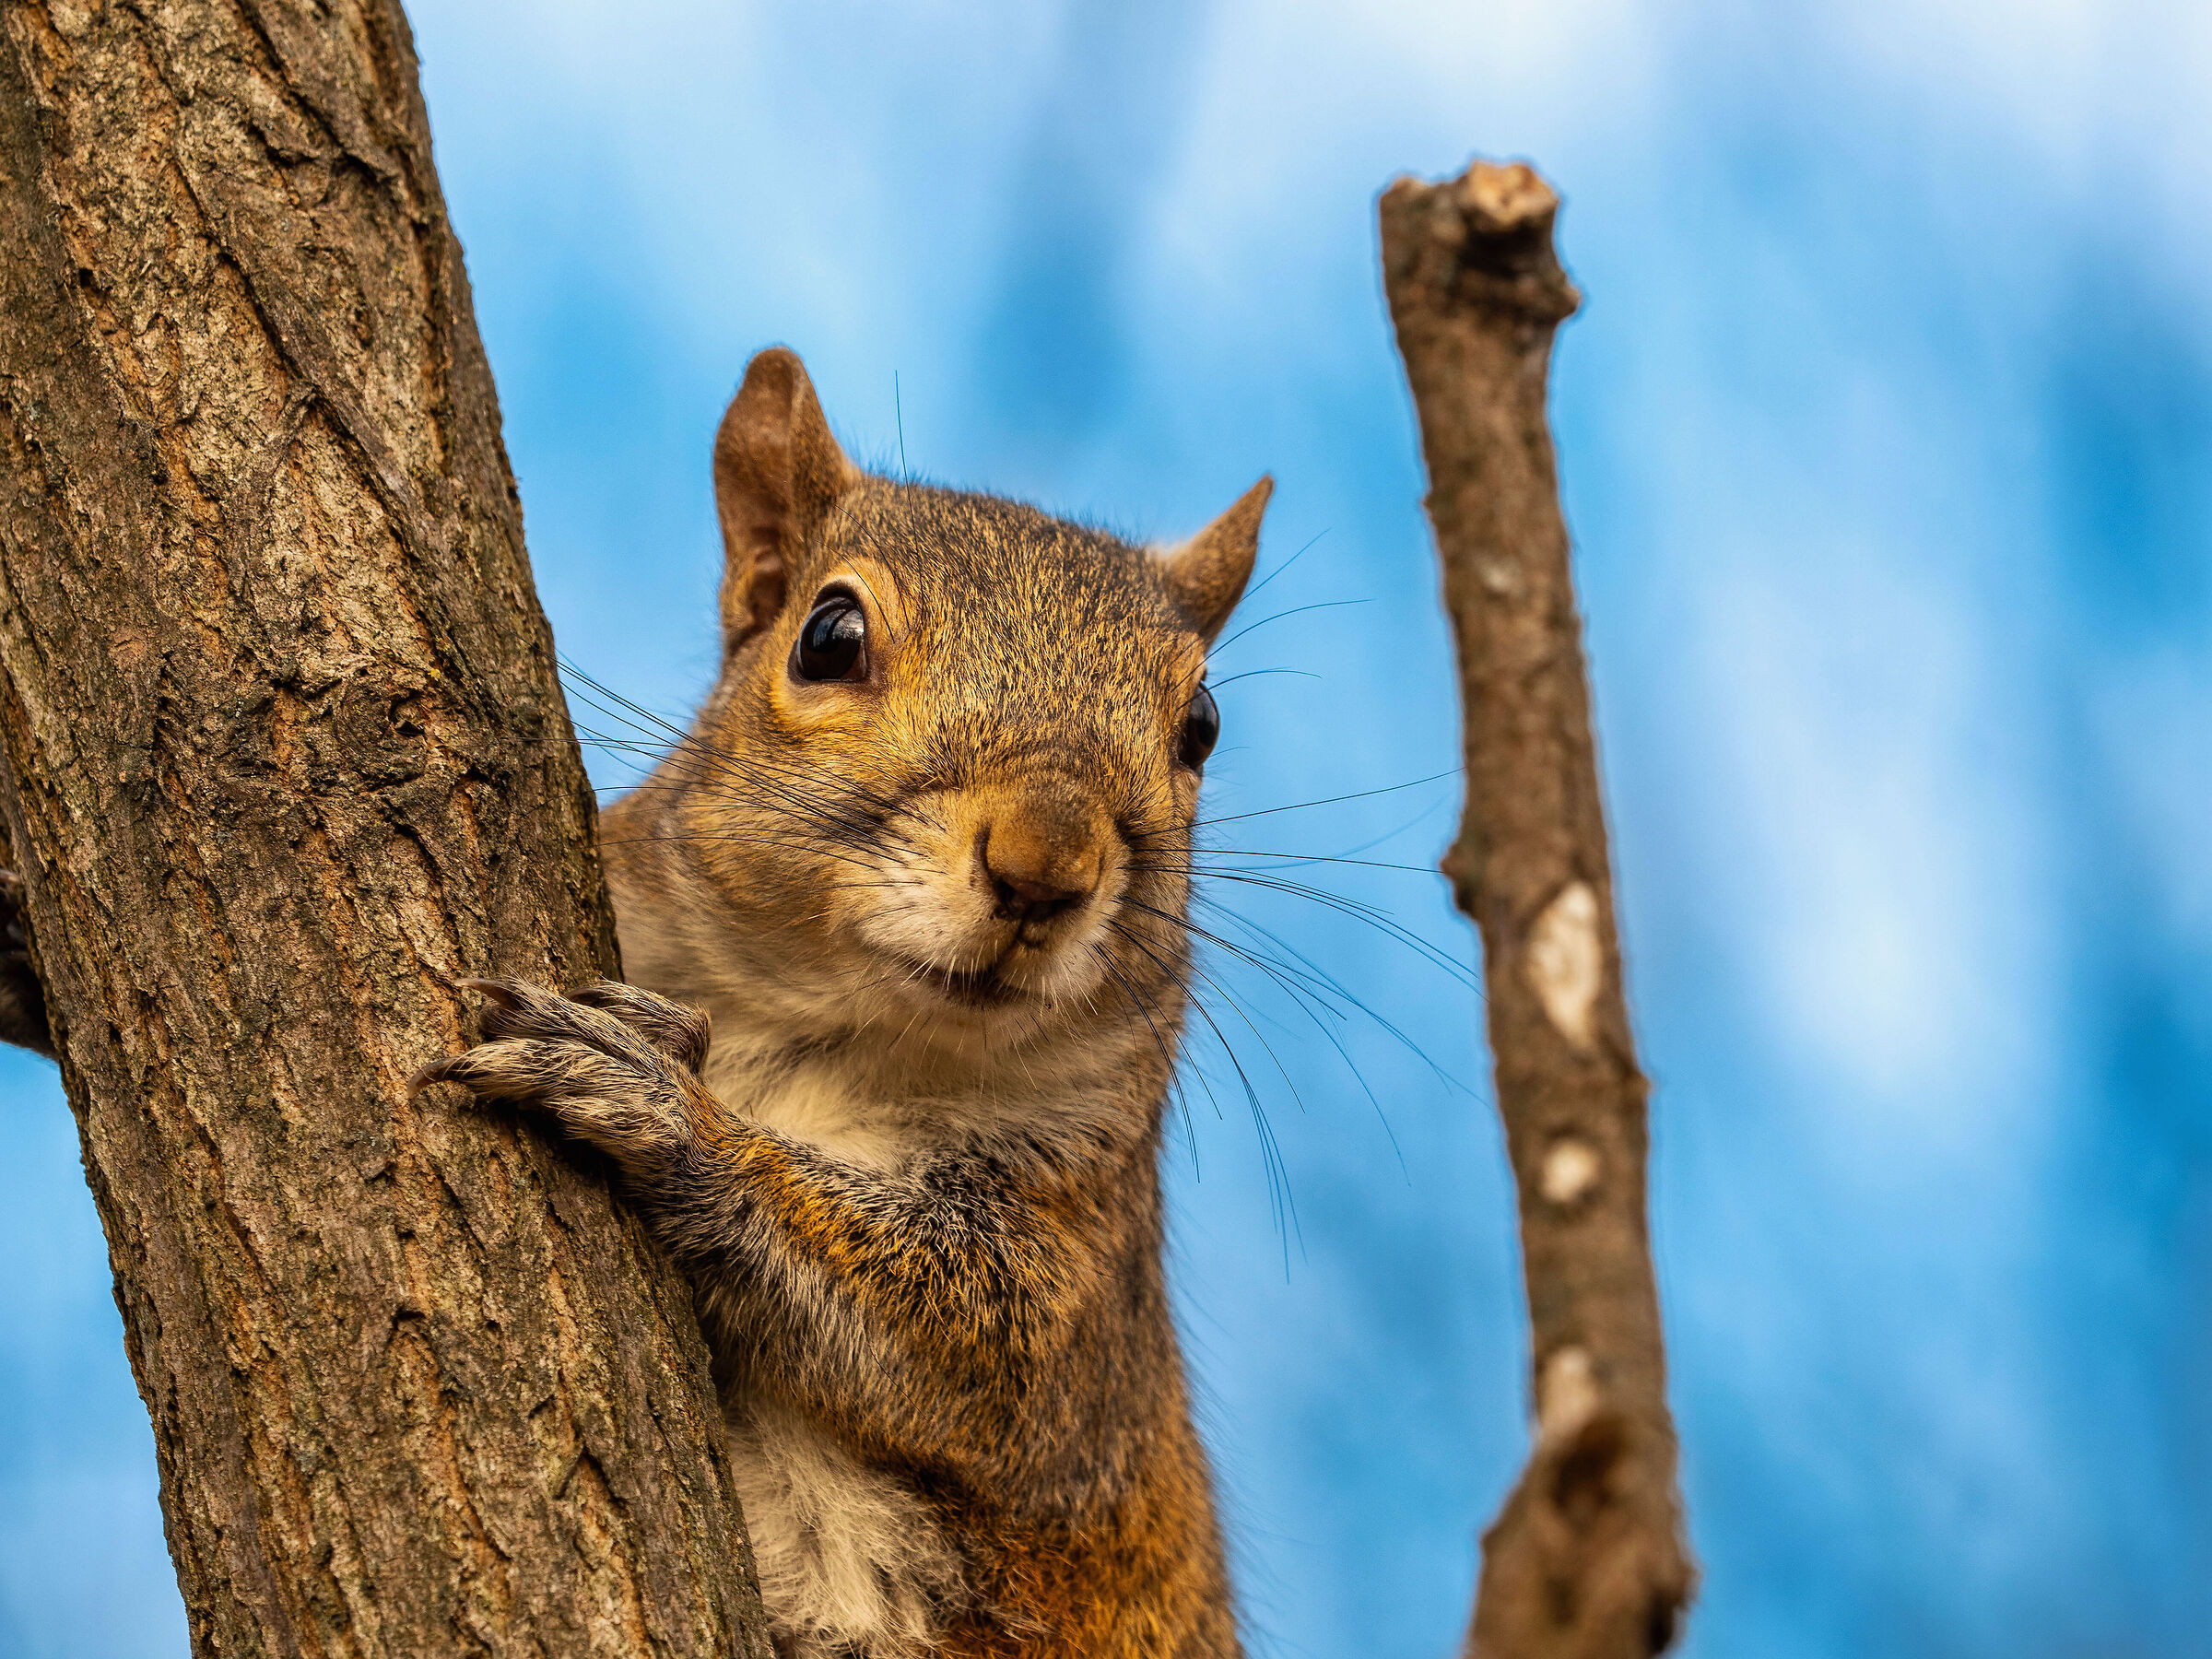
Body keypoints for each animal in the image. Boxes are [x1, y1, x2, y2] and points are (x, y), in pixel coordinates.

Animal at [411, 347, 1274, 1658]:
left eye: (1203, 728)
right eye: (828, 636)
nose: (1047, 865)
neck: (820, 1028)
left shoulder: (1075, 1280)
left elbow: (969, 1336)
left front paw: (666, 1115)